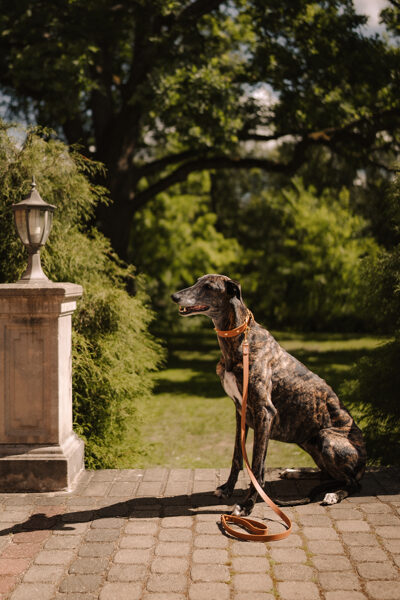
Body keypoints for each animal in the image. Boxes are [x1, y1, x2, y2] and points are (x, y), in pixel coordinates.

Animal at [170, 274, 368, 512]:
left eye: (208, 287)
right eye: (197, 281)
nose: (174, 296)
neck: (240, 342)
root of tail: (365, 459)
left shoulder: (265, 412)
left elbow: (256, 466)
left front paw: (247, 505)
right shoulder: (240, 411)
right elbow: (237, 456)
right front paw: (227, 489)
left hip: (327, 437)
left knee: (353, 483)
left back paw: (334, 495)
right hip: (307, 439)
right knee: (327, 473)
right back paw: (295, 472)